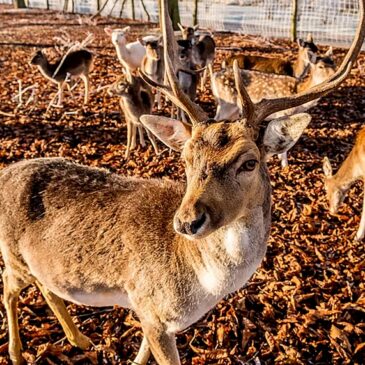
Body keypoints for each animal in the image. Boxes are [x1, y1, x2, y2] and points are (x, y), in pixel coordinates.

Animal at [2, 0, 364, 364]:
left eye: (249, 162)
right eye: (186, 159)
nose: (187, 222)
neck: (201, 287)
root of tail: (6, 172)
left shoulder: (152, 315)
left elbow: (142, 353)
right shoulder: (150, 306)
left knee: (47, 286)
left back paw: (80, 340)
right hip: (12, 256)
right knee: (8, 287)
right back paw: (18, 353)